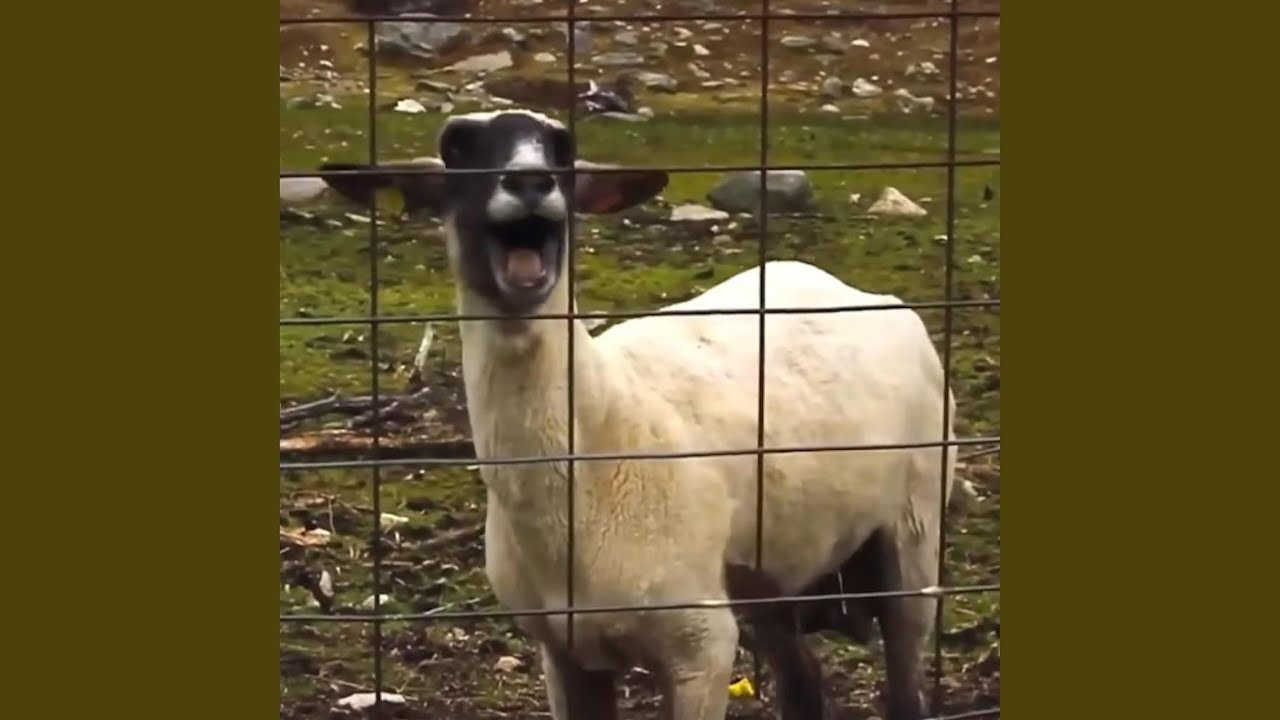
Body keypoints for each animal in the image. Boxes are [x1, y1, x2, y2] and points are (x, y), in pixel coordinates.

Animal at [319, 109, 958, 720]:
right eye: (457, 146)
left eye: (563, 147)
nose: (529, 181)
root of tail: (858, 291)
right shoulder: (563, 652)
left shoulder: (700, 644)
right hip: (768, 572)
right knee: (805, 684)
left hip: (913, 530)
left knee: (904, 684)